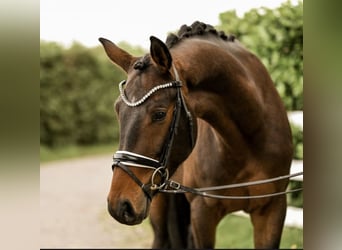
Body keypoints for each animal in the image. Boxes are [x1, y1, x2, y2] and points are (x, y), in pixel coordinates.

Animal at [98, 21, 292, 248]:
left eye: (159, 114)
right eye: (117, 110)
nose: (120, 204)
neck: (249, 143)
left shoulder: (272, 209)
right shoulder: (202, 212)